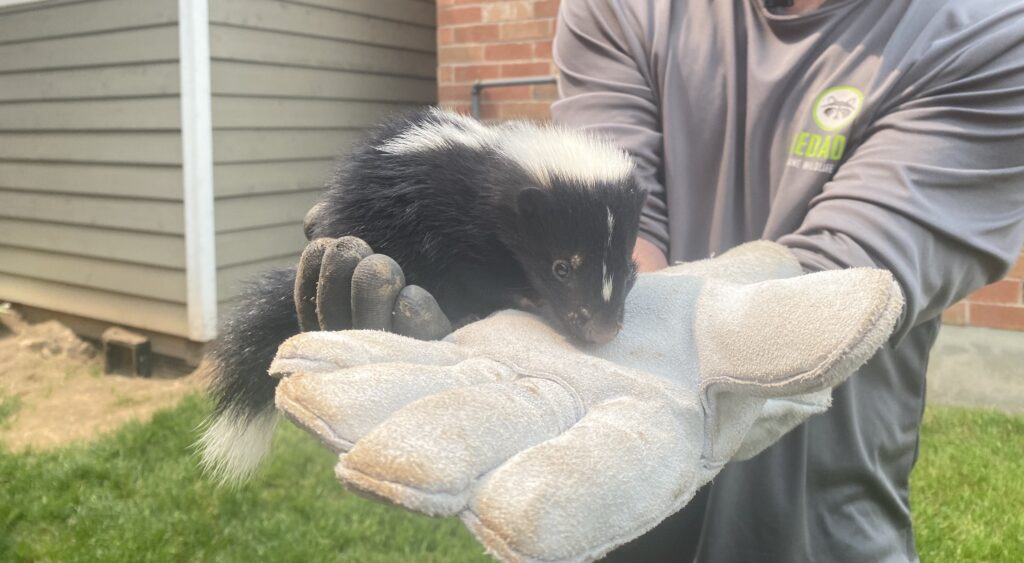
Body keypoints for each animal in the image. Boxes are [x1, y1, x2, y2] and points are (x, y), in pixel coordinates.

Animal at [198, 107, 643, 483]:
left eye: (625, 265)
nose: (601, 330)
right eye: (561, 267)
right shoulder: (453, 219)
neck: (494, 165)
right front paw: (519, 297)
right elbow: (476, 270)